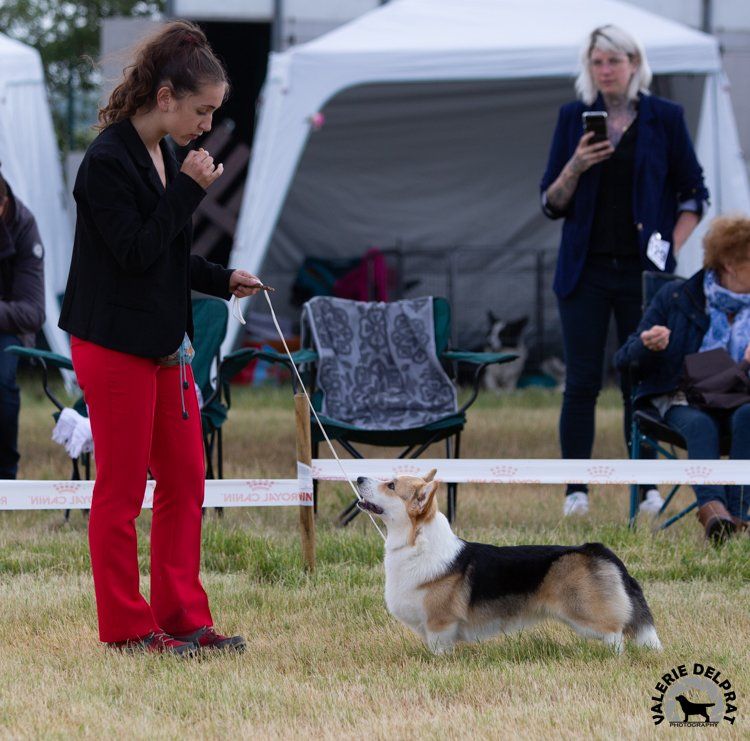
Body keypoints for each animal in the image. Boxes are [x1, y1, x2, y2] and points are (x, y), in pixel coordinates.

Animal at [358, 468, 664, 652]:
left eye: (391, 485)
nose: (359, 478)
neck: (416, 542)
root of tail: (595, 548)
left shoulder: (440, 625)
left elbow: (439, 649)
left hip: (585, 613)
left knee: (615, 632)